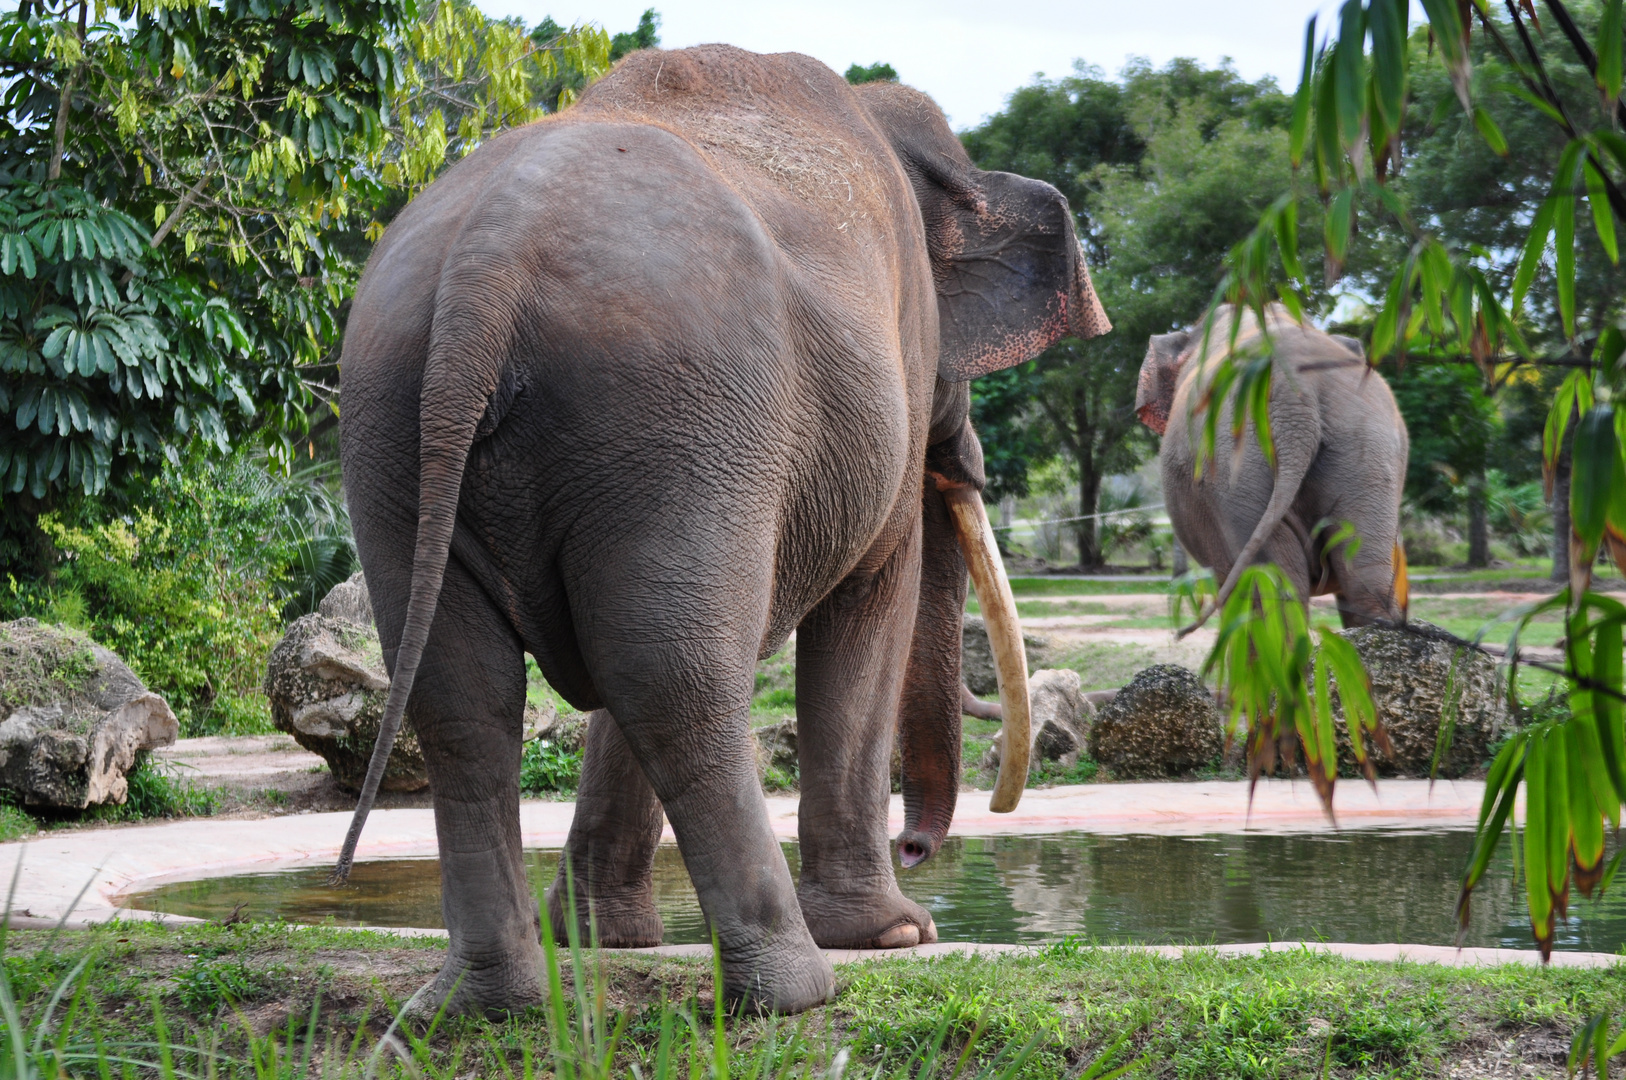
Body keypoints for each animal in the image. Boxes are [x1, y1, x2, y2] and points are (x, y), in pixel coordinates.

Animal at [333, 44, 1118, 1021]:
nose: (918, 853)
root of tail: (490, 262)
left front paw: (599, 940)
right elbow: (873, 596)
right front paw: (895, 937)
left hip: (399, 420)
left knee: (470, 694)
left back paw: (490, 1005)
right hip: (676, 415)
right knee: (676, 677)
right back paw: (796, 990)